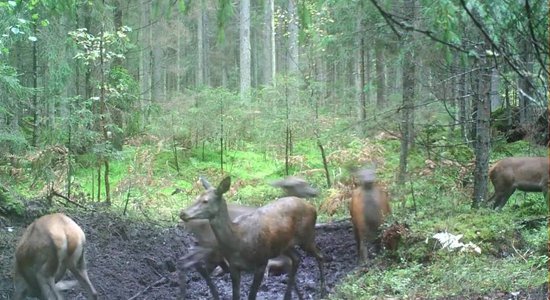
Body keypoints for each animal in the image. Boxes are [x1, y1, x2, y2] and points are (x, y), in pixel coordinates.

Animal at [181, 176, 328, 300]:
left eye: (205, 201)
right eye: (196, 197)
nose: (182, 213)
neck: (238, 239)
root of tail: (312, 208)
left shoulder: (261, 262)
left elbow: (252, 295)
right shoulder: (234, 266)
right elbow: (236, 295)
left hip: (307, 236)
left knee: (320, 255)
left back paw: (323, 292)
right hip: (285, 245)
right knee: (296, 258)